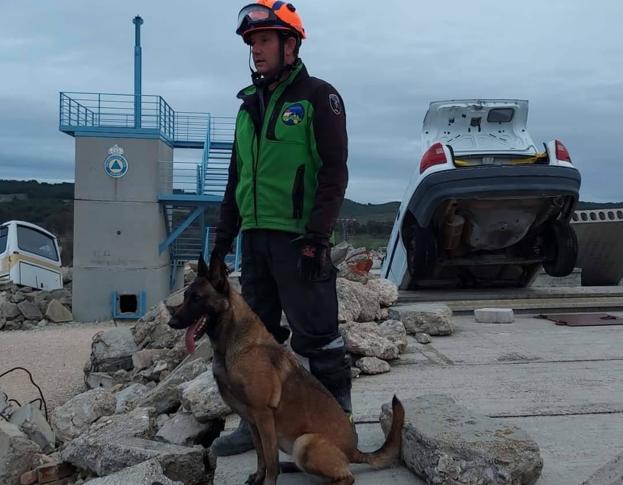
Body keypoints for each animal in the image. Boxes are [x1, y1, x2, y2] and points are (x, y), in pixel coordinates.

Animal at [169, 260, 404, 485]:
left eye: (197, 298)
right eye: (185, 296)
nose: (171, 322)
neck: (234, 346)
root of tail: (353, 451)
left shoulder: (263, 417)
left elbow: (270, 459)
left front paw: (268, 481)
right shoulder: (252, 422)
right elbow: (261, 456)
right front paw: (258, 477)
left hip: (304, 443)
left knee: (346, 477)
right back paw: (290, 467)